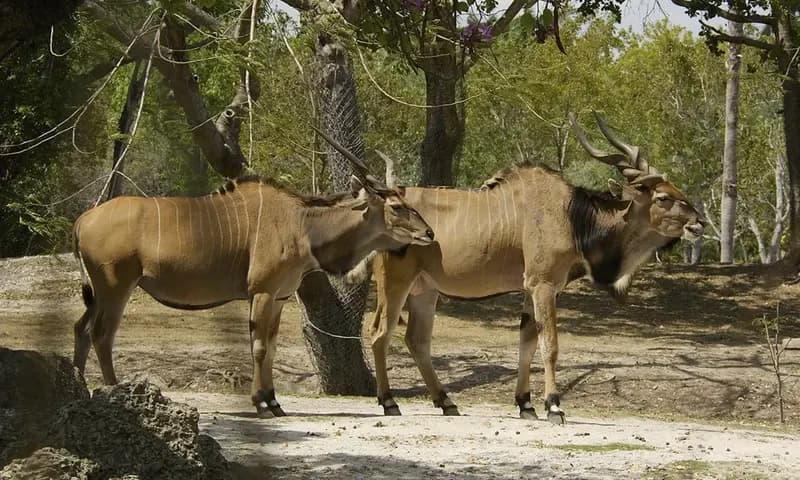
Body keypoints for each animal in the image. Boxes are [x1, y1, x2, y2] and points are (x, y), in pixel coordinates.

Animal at [72, 131, 434, 418]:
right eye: (397, 207)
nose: (429, 233)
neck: (301, 223)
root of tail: (83, 220)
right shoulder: (261, 292)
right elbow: (258, 347)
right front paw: (261, 404)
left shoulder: (280, 296)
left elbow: (270, 347)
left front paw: (274, 402)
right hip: (116, 287)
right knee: (101, 334)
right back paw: (115, 393)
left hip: (101, 294)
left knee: (81, 329)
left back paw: (80, 388)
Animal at [368, 112, 704, 423]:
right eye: (663, 197)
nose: (699, 222)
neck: (572, 217)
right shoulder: (543, 285)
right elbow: (549, 345)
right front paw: (554, 405)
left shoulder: (531, 289)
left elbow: (527, 343)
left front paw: (526, 405)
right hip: (395, 284)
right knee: (379, 333)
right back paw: (389, 402)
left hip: (425, 290)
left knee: (416, 340)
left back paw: (446, 402)